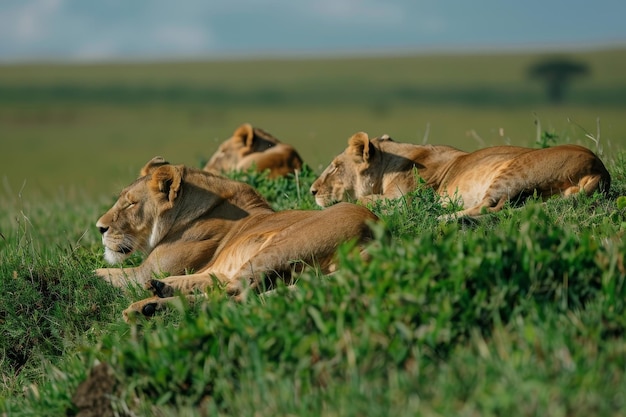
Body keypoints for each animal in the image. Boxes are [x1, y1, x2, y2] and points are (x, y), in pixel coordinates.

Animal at [93, 155, 376, 318]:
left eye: (131, 204)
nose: (100, 227)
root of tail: (376, 230)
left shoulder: (142, 271)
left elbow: (99, 275)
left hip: (284, 245)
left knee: (234, 293)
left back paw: (149, 305)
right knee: (230, 290)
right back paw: (155, 299)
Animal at [308, 132, 608, 218]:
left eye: (335, 166)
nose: (311, 191)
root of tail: (600, 169)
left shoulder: (403, 201)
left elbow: (362, 200)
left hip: (514, 171)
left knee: (489, 207)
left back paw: (442, 215)